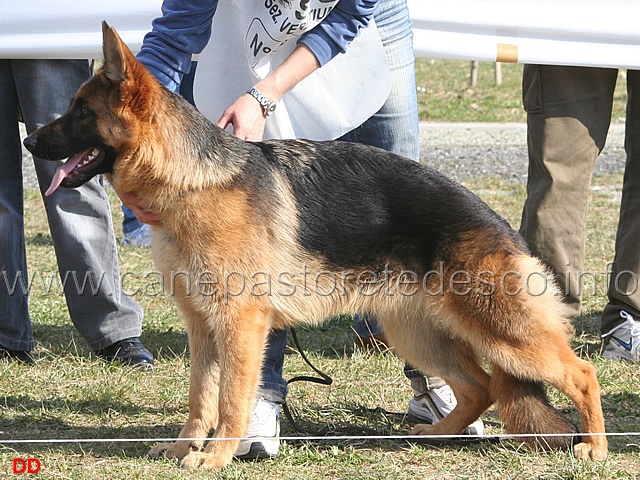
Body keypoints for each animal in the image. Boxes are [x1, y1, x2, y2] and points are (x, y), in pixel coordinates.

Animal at [23, 23, 604, 468]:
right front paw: (187, 449)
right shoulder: (203, 327)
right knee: (480, 388)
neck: (193, 179)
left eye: (79, 112)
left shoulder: (241, 325)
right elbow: (200, 397)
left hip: (504, 333)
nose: (28, 141)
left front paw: (216, 457)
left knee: (580, 373)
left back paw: (594, 448)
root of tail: (502, 226)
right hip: (416, 333)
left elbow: (231, 400)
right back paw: (437, 435)